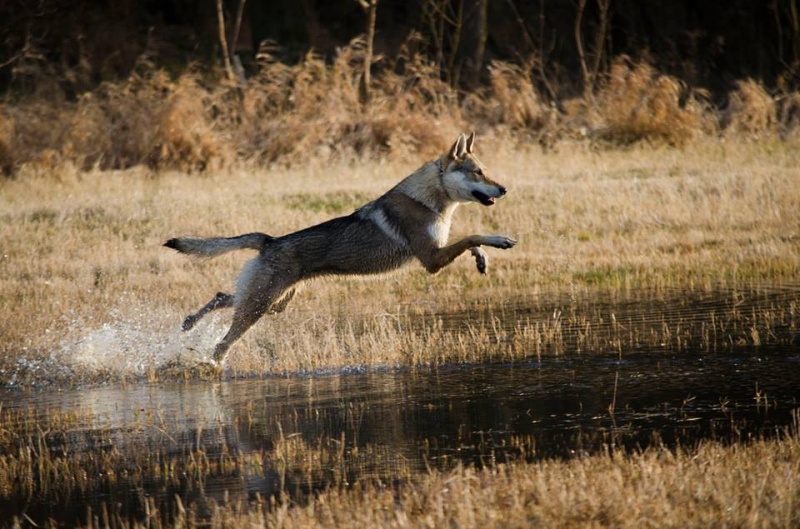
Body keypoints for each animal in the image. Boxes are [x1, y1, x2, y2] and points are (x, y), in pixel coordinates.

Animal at [165, 132, 516, 364]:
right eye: (478, 172)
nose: (504, 188)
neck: (429, 200)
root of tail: (270, 240)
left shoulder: (438, 253)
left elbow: (472, 242)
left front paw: (483, 261)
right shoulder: (431, 260)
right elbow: (473, 235)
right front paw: (501, 241)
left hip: (273, 303)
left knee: (221, 296)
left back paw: (189, 324)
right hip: (260, 305)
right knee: (222, 343)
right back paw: (209, 364)